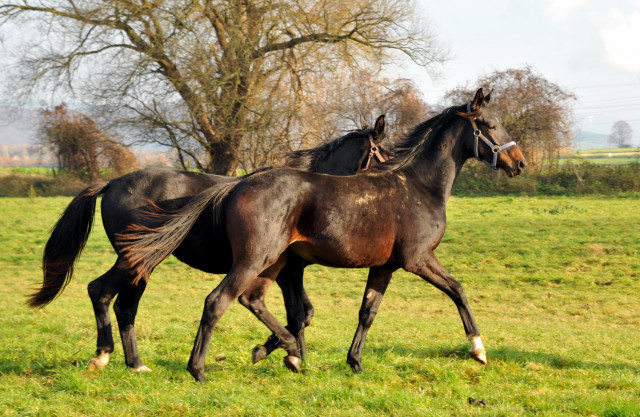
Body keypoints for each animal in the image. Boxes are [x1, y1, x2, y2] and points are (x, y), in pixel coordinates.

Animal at [122, 88, 528, 380]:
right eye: (490, 124)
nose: (520, 163)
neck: (417, 186)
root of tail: (238, 184)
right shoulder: (418, 259)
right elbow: (458, 290)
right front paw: (479, 349)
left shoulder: (384, 267)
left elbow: (367, 311)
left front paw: (355, 362)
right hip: (256, 258)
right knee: (217, 301)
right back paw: (199, 369)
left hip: (273, 262)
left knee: (252, 299)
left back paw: (284, 354)